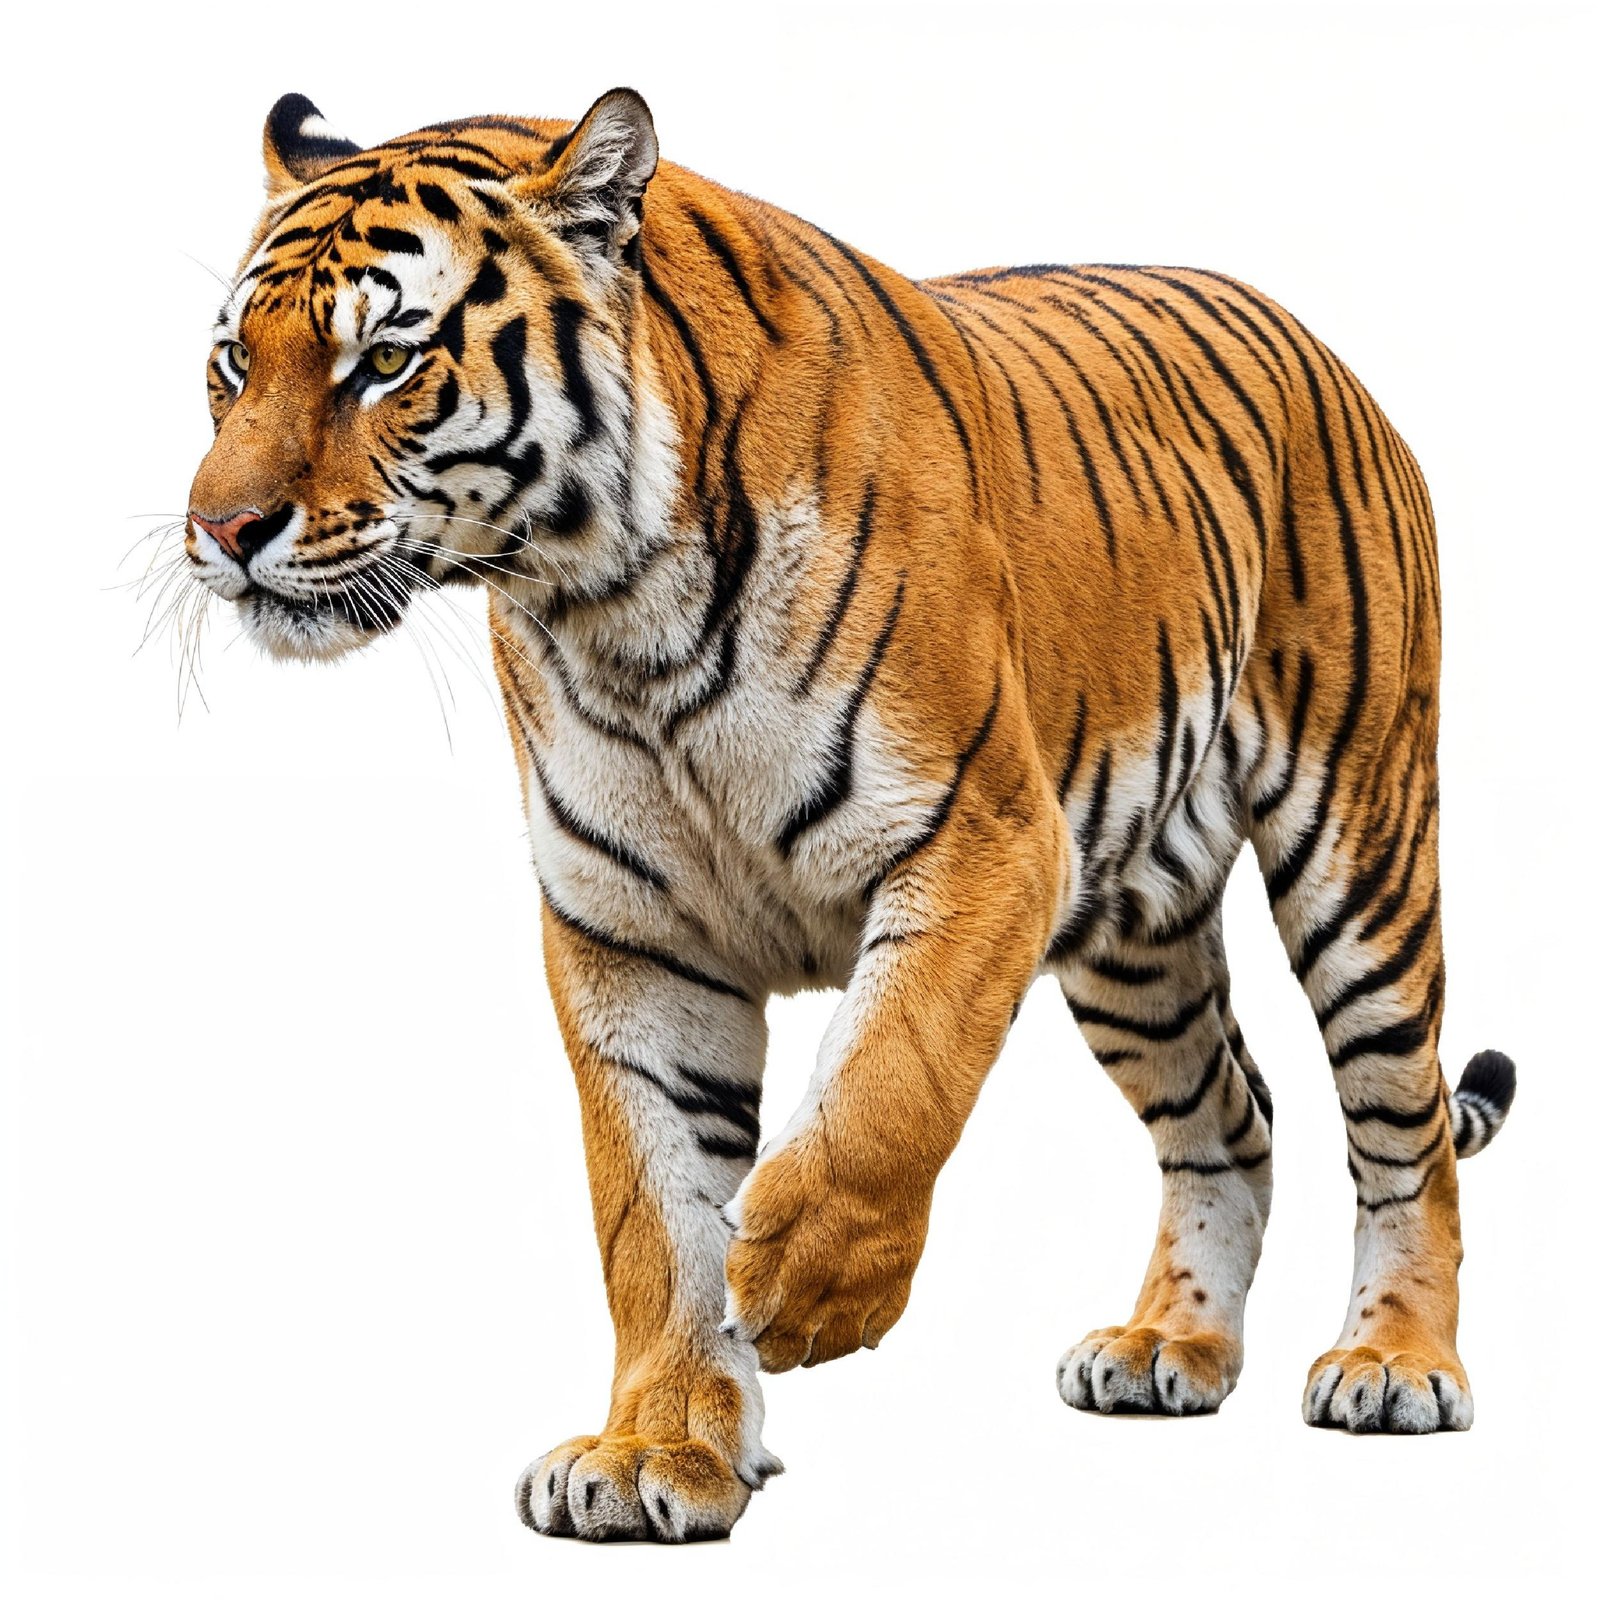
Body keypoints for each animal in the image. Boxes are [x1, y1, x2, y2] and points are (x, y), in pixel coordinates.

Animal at [181, 86, 1518, 1543]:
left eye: (383, 363)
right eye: (231, 365)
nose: (221, 530)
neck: (611, 612)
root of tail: (1310, 337)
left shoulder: (983, 842)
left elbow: (889, 1080)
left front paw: (801, 1285)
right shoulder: (628, 934)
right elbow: (649, 1211)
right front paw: (658, 1449)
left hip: (1359, 849)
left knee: (1403, 1124)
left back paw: (1396, 1365)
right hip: (1135, 942)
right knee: (1234, 1117)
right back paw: (1170, 1347)